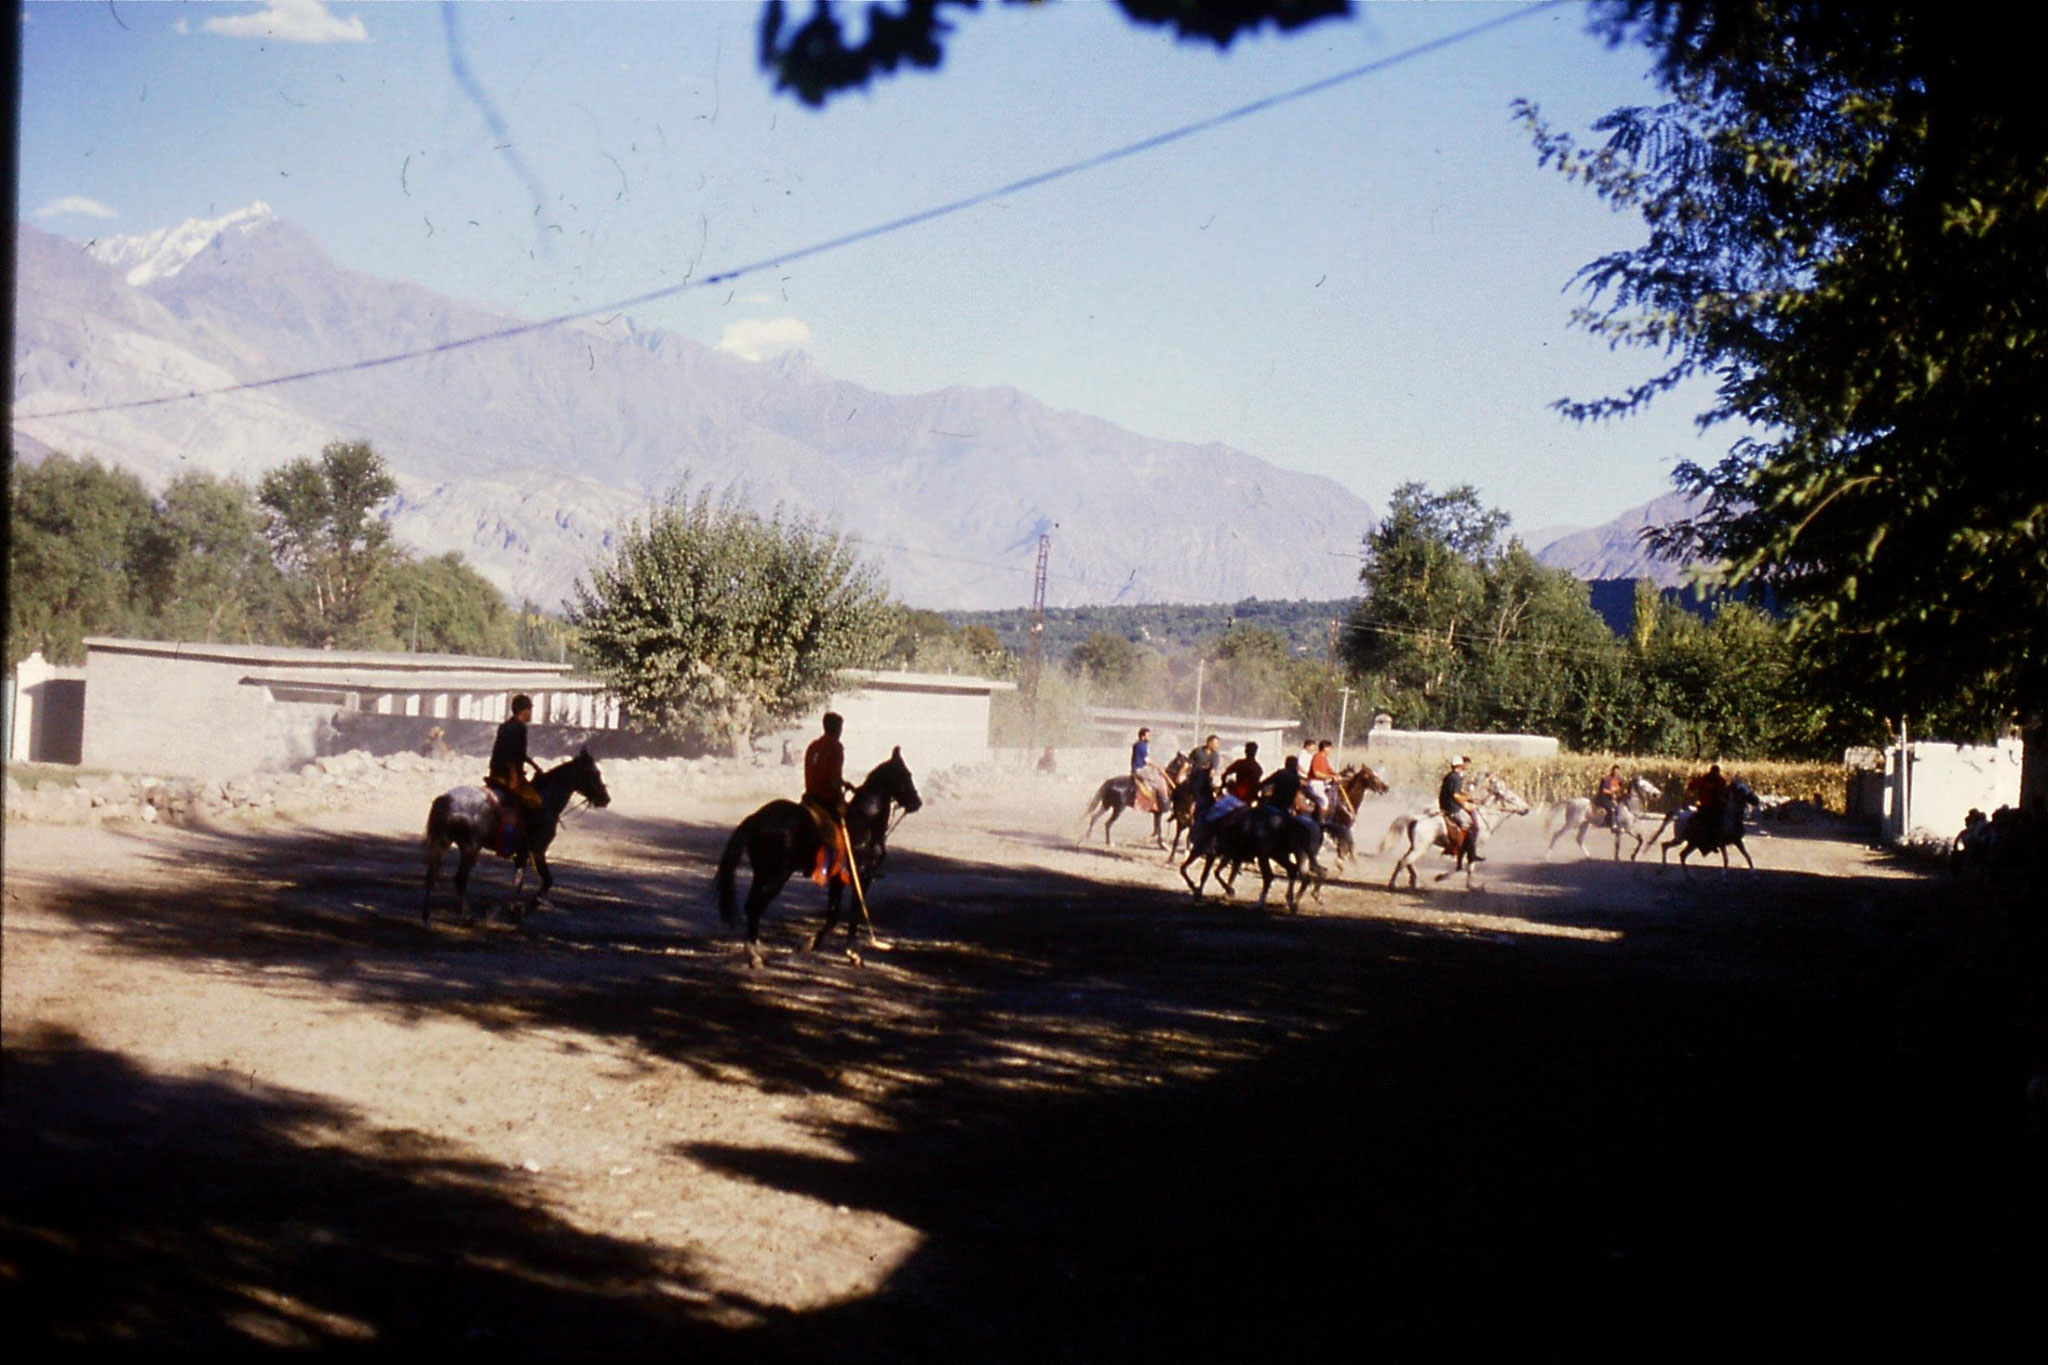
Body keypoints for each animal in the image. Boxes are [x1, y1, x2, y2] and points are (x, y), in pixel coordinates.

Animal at [417, 749, 602, 929]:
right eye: (594, 773)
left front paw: (513, 911)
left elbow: (518, 882)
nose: (605, 798)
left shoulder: (522, 854)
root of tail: (446, 799)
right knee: (460, 879)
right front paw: (522, 911)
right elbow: (546, 881)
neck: (547, 800)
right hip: (470, 848)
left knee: (431, 876)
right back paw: (468, 917)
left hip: (443, 841)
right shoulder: (538, 851)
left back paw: (426, 918)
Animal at [712, 753, 921, 965]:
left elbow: (833, 915)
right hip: (776, 877)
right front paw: (849, 953)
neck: (867, 820)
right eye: (907, 775)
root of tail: (757, 818)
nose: (917, 802)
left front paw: (808, 945)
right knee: (755, 907)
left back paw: (756, 949)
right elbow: (853, 913)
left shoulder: (837, 880)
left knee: (752, 906)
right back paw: (754, 955)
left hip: (762, 874)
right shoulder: (861, 878)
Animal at [1384, 773, 1531, 892]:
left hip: (1417, 846)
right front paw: (1469, 885)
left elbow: (1460, 867)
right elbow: (1469, 867)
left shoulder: (1462, 849)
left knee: (1407, 861)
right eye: (1512, 798)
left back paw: (1413, 881)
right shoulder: (1472, 848)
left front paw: (1445, 878)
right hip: (1421, 847)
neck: (1485, 816)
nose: (1527, 809)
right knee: (1403, 861)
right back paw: (1393, 884)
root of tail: (1416, 818)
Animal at [1540, 773, 1671, 859]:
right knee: (1556, 835)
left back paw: (1589, 856)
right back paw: (1547, 856)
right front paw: (1632, 855)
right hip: (1571, 823)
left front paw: (1619, 858)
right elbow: (1640, 839)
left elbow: (1619, 845)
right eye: (1644, 785)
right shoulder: (1627, 829)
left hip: (1584, 824)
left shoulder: (1622, 830)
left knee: (1579, 839)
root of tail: (1570, 801)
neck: (1628, 806)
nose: (1658, 793)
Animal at [1638, 777, 1769, 863]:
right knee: (1668, 847)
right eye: (1740, 789)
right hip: (1682, 839)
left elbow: (1748, 857)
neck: (1731, 818)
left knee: (1679, 853)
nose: (1756, 800)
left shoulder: (1738, 841)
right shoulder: (1722, 843)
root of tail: (1680, 813)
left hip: (1690, 842)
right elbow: (1726, 859)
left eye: (1747, 786)